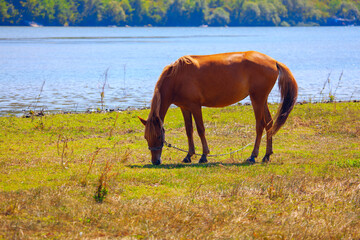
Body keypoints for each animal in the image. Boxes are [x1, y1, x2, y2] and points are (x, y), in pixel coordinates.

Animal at [139, 51, 298, 165]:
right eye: (146, 137)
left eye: (159, 136)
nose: (155, 161)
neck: (177, 76)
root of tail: (274, 61)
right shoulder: (185, 108)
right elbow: (189, 131)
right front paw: (188, 155)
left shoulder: (195, 106)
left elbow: (200, 130)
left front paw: (203, 156)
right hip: (262, 99)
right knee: (269, 124)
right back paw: (266, 155)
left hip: (257, 99)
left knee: (260, 125)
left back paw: (253, 156)